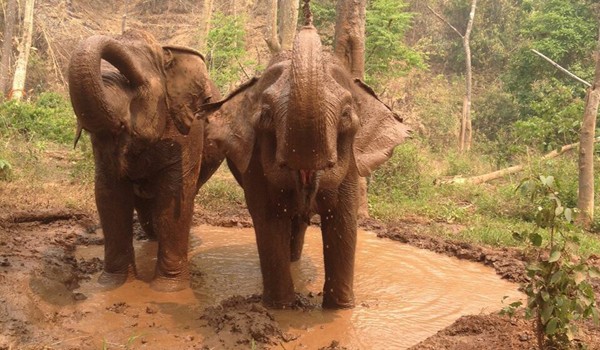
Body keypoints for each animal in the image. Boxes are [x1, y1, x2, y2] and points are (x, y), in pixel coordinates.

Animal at [68, 29, 223, 292]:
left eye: (135, 81)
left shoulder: (190, 129)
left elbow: (175, 197)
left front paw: (167, 290)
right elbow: (109, 195)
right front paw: (110, 286)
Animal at [199, 25, 410, 308]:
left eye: (346, 114)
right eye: (266, 114)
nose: (308, 23)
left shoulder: (352, 169)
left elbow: (342, 220)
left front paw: (340, 309)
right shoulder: (253, 164)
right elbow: (268, 219)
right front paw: (281, 307)